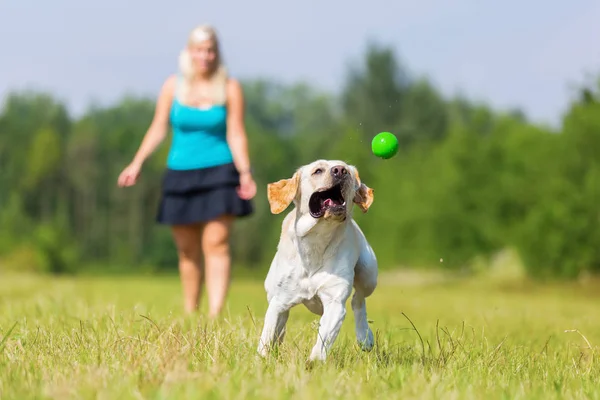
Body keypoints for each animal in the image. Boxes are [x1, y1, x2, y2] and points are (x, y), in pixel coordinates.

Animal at [255, 160, 378, 362]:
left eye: (347, 171)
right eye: (318, 171)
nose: (340, 170)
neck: (317, 239)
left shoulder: (334, 302)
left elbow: (323, 339)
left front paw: (314, 362)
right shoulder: (278, 302)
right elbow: (268, 334)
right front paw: (262, 359)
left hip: (369, 274)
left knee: (358, 299)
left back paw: (365, 338)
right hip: (270, 289)